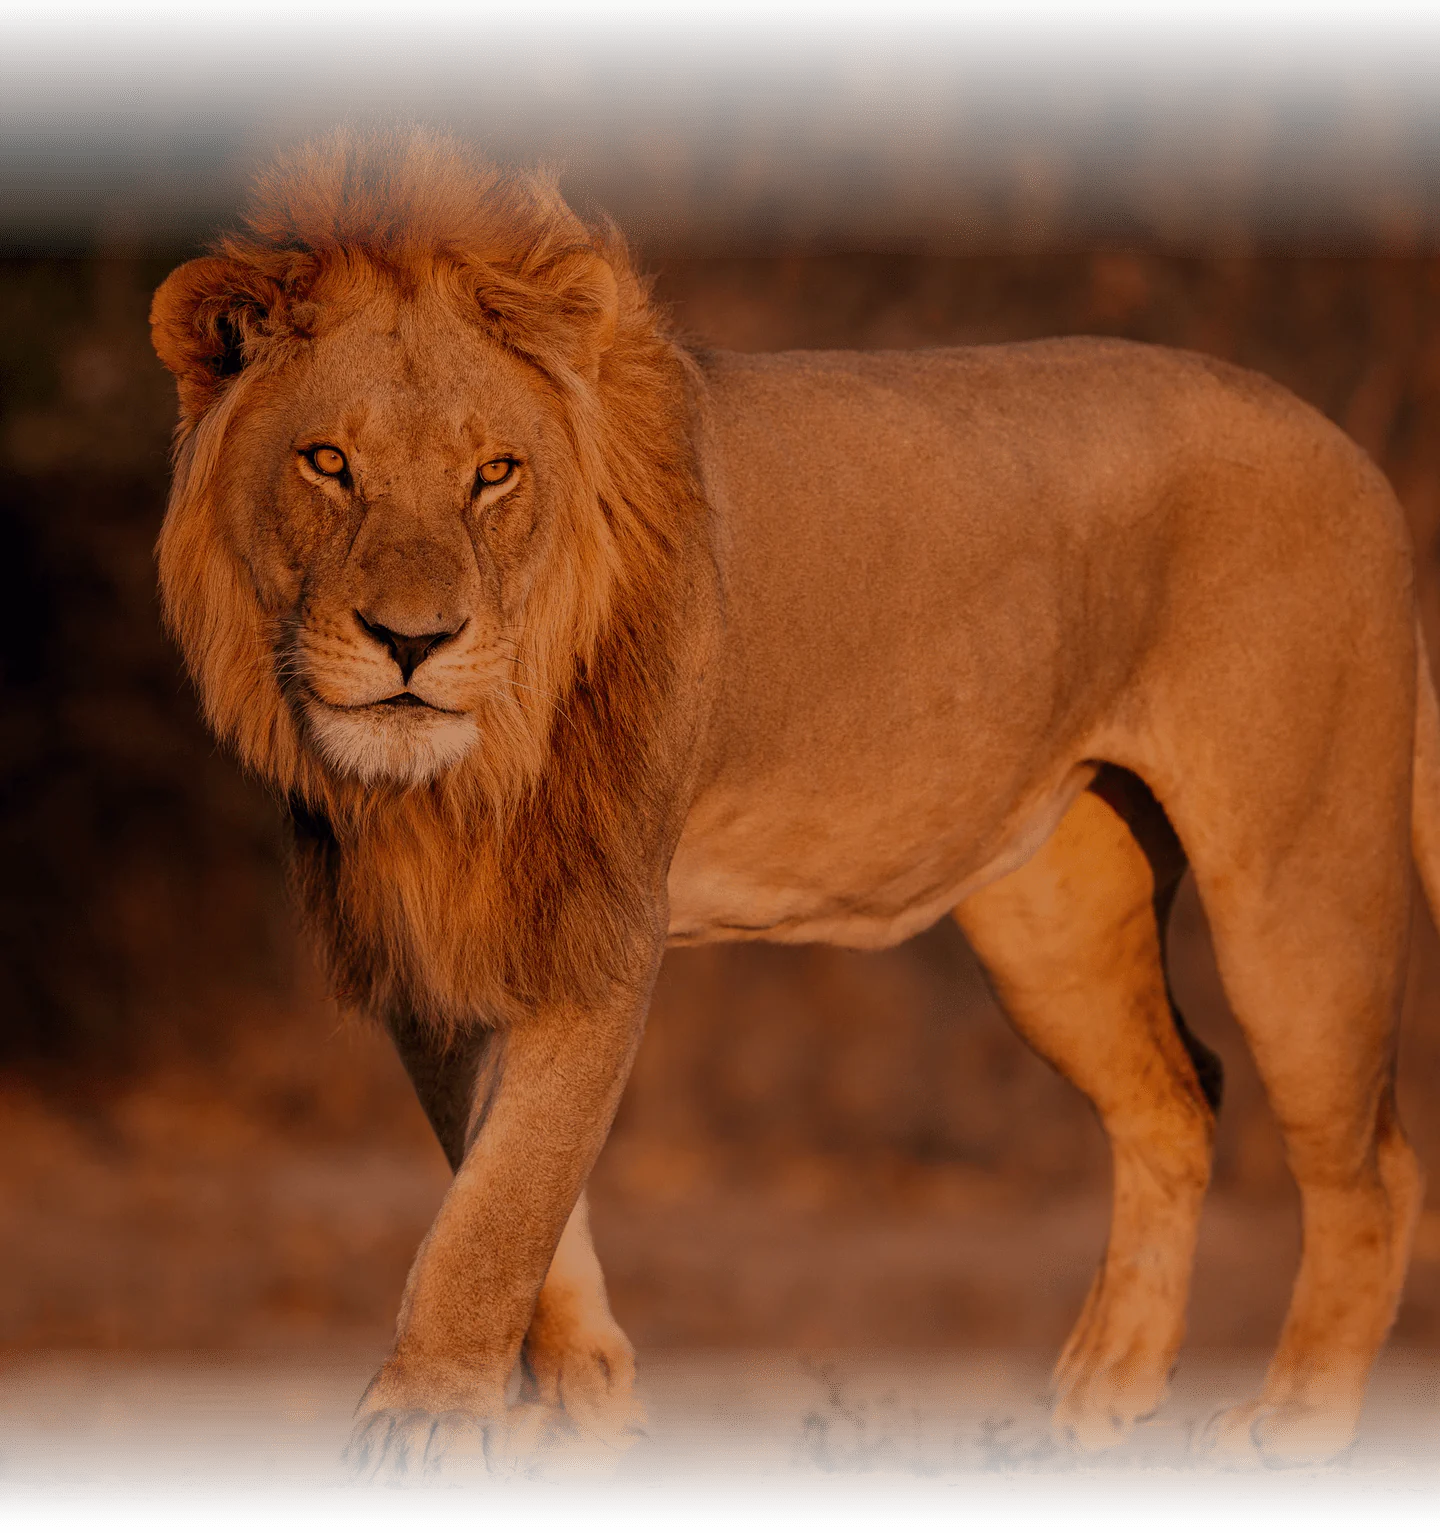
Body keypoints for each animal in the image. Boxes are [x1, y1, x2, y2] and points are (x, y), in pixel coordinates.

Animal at [149, 124, 1438, 1482]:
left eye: (493, 474)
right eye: (328, 463)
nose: (414, 642)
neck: (453, 785)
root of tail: (1343, 443)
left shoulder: (604, 926)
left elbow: (506, 1194)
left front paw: (429, 1412)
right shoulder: (430, 945)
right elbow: (503, 1178)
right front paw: (583, 1411)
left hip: (1299, 879)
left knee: (1371, 1161)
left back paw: (1298, 1418)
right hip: (1052, 918)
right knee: (1177, 1095)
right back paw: (1110, 1385)